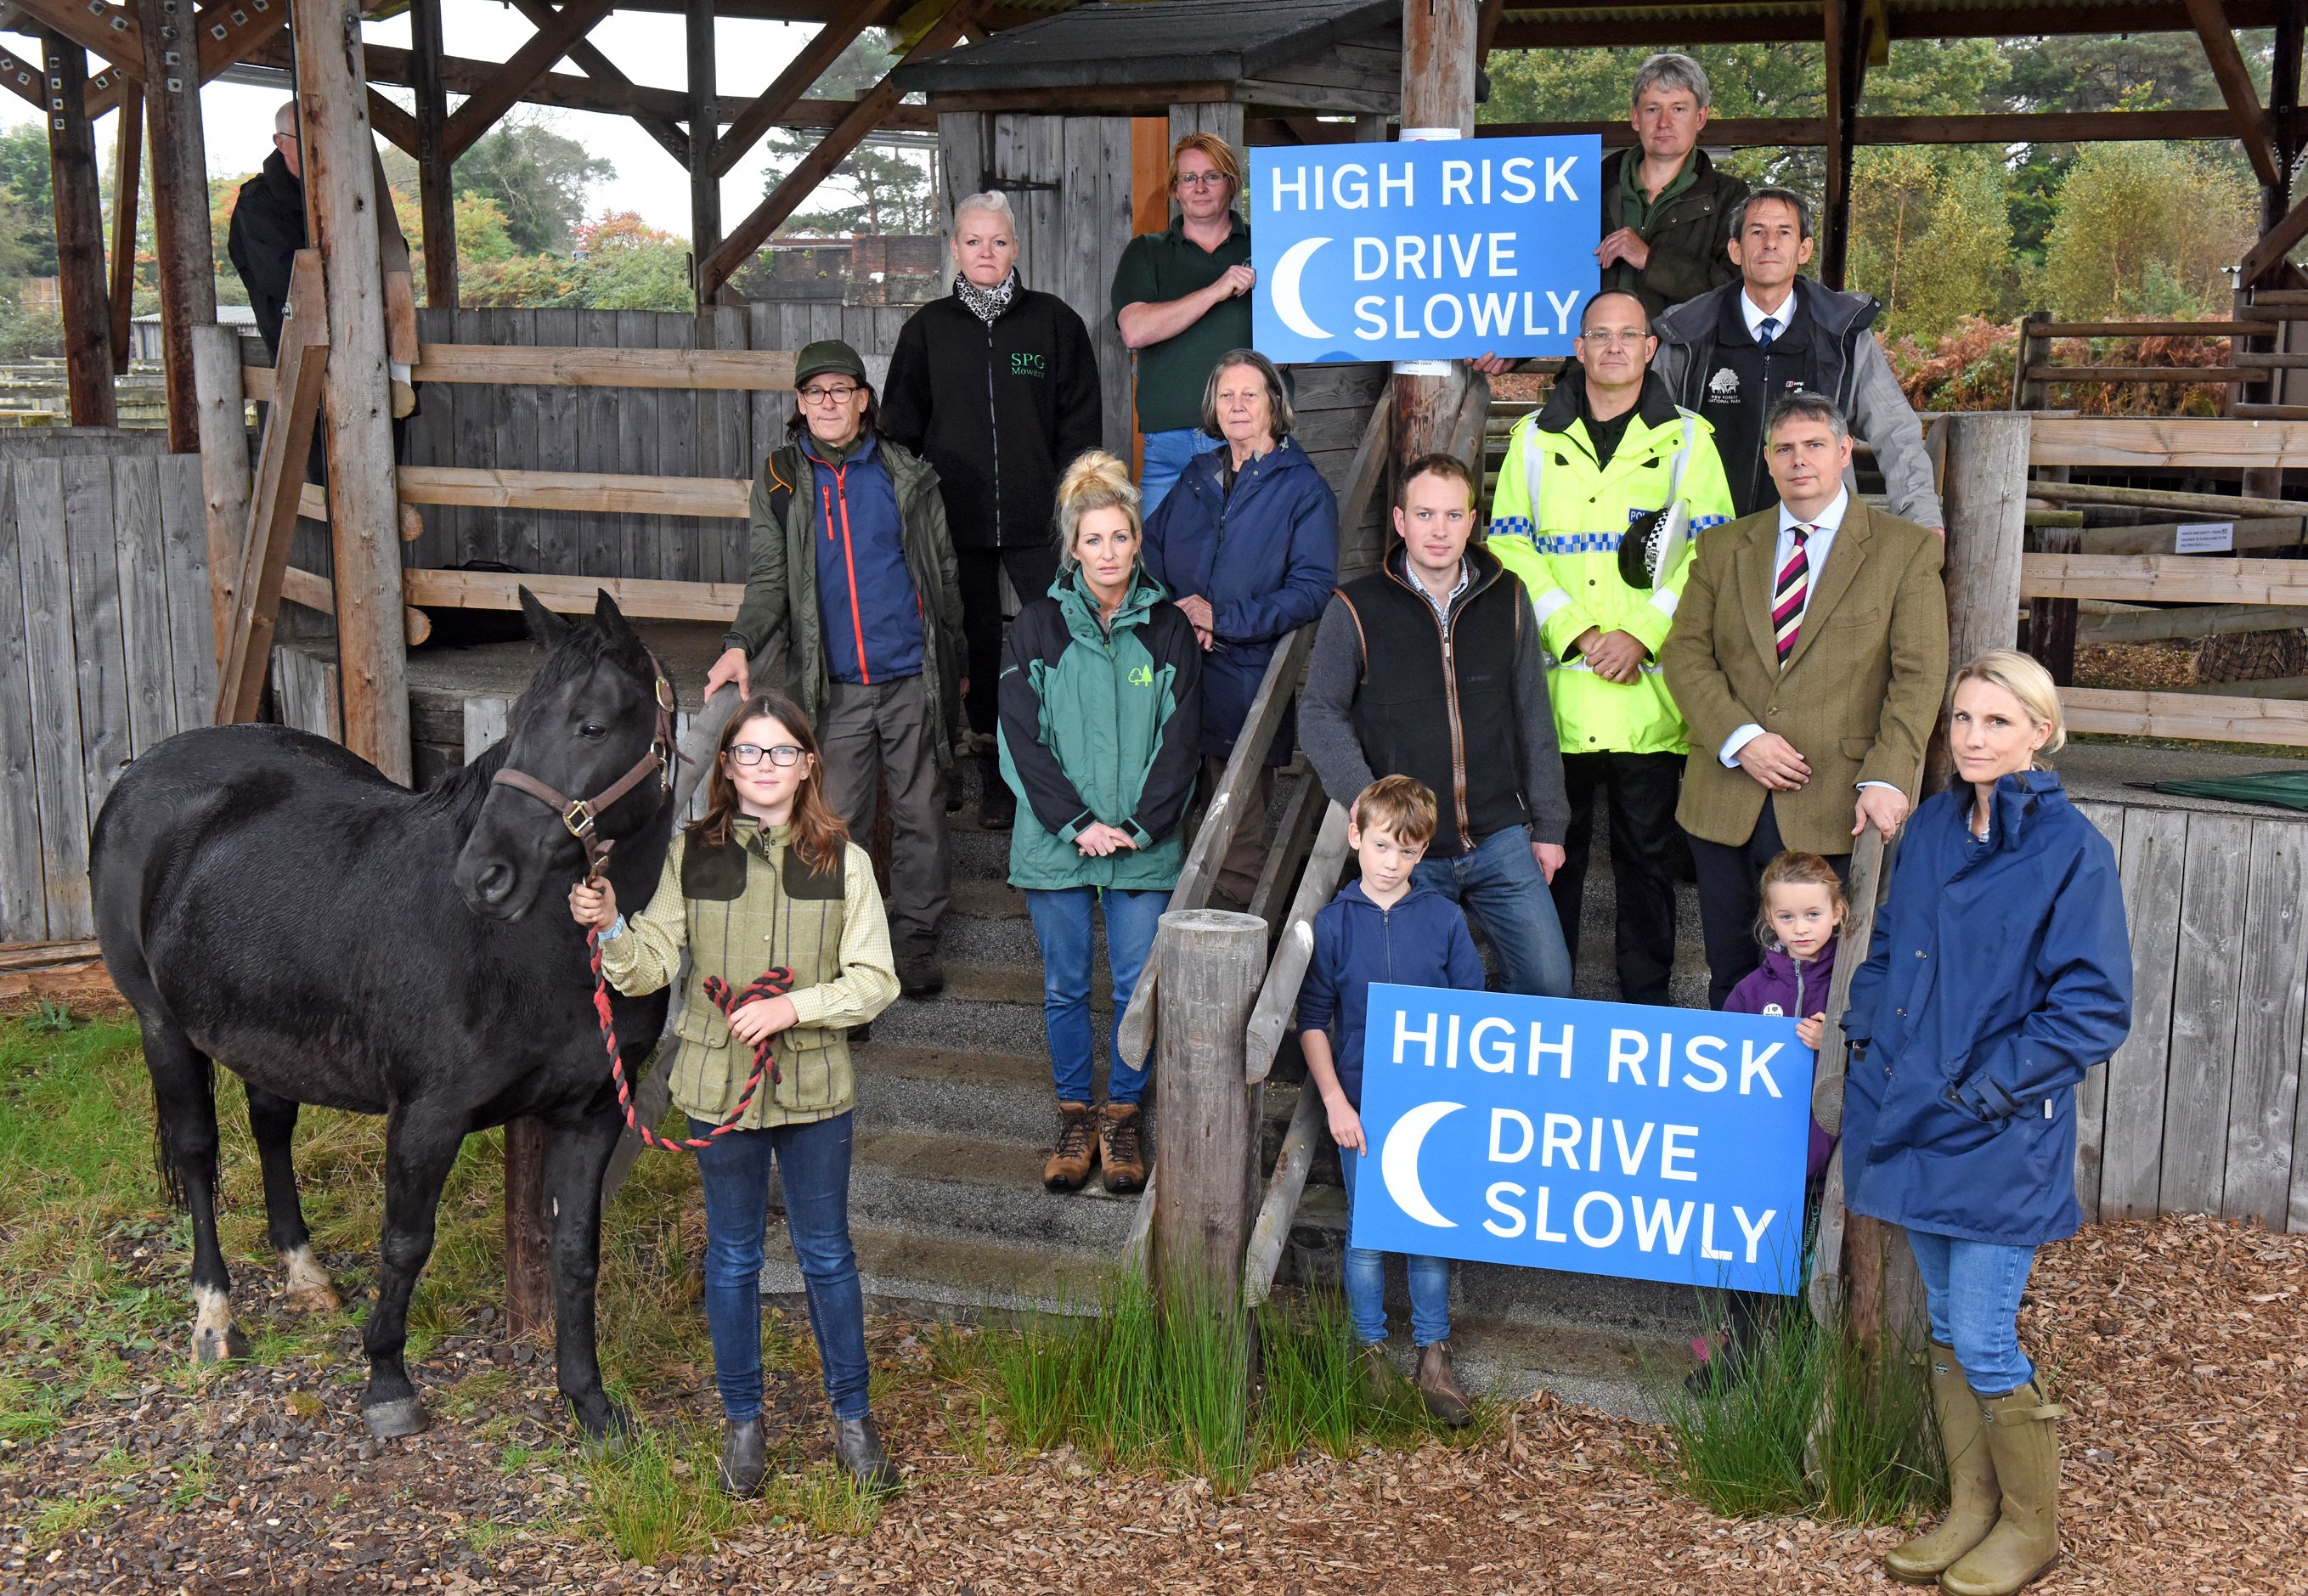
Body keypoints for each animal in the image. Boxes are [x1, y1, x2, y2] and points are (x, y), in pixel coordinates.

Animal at [94, 590, 678, 1439]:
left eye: (593, 726)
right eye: (521, 722)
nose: (486, 875)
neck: (526, 949)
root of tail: (145, 770)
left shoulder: (592, 1112)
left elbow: (575, 1249)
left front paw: (591, 1402)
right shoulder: (427, 1114)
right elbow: (404, 1242)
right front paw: (386, 1381)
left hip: (267, 1031)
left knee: (271, 1126)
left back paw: (304, 1272)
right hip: (162, 1025)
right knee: (199, 1155)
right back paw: (214, 1317)